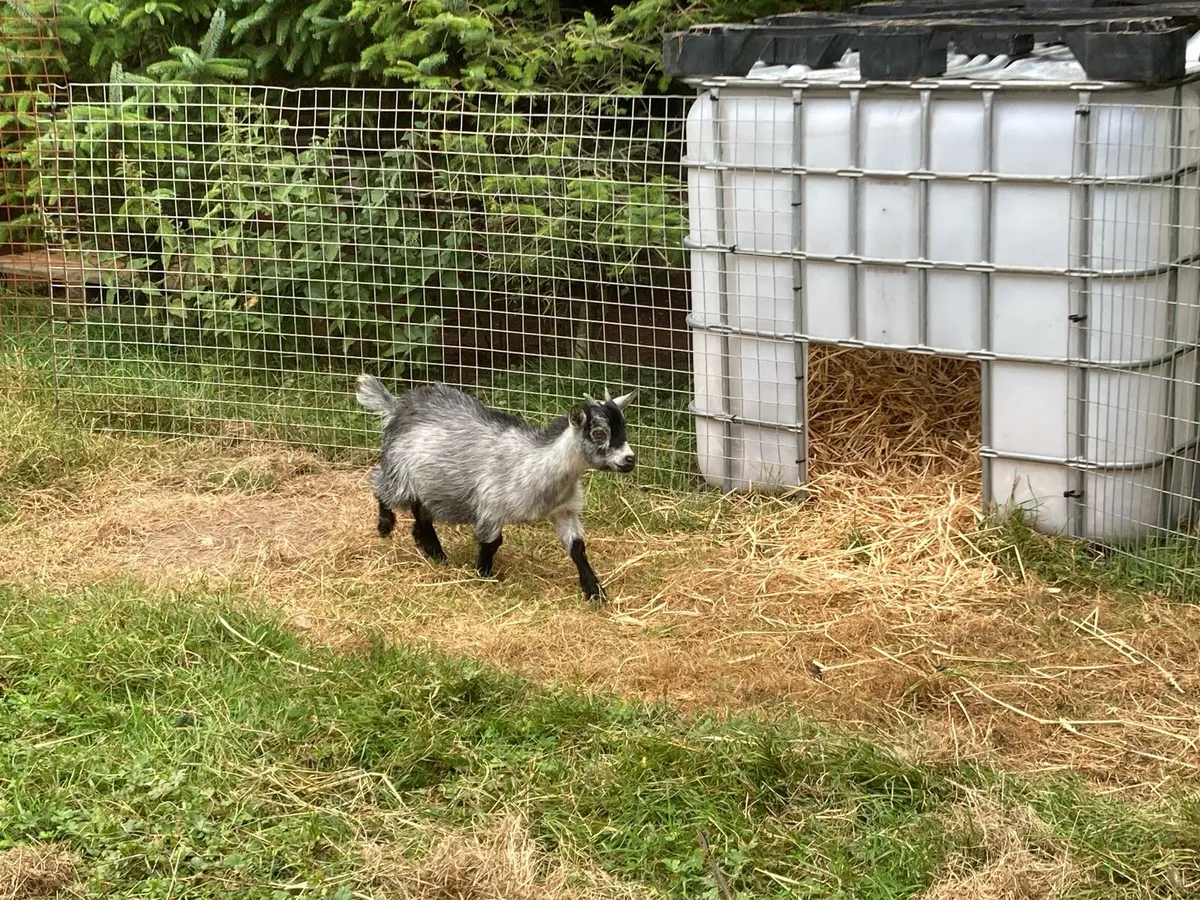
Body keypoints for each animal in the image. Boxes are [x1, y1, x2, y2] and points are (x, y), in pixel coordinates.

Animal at [356, 376, 637, 607]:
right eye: (599, 433)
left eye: (624, 429)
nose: (630, 459)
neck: (538, 464)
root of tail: (397, 407)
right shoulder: (491, 507)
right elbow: (492, 543)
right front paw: (483, 574)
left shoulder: (566, 510)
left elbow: (577, 548)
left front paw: (595, 592)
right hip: (399, 473)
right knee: (379, 484)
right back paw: (385, 525)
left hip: (427, 483)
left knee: (420, 513)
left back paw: (434, 552)